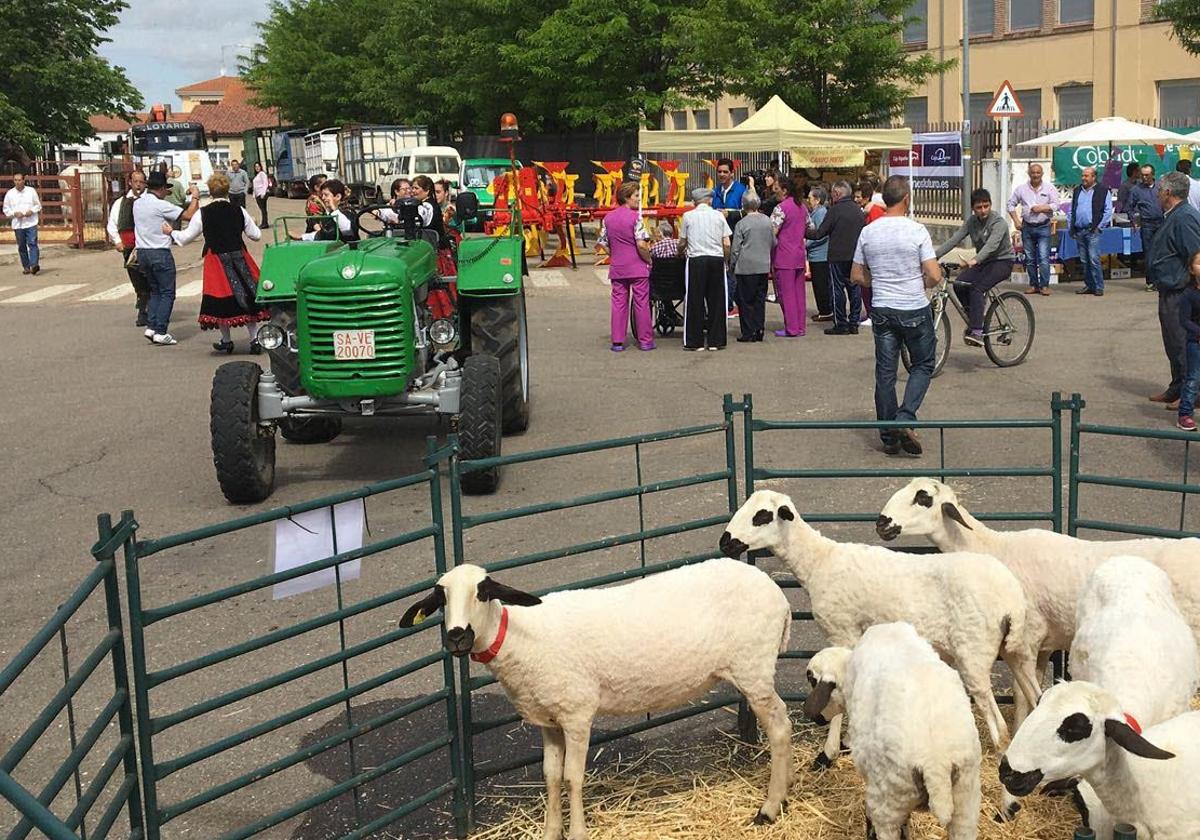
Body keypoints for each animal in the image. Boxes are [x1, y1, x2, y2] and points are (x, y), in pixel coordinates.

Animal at [398, 556, 796, 840]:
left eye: (483, 591)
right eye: (440, 597)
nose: (457, 637)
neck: (518, 638)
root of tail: (777, 593)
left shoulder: (576, 713)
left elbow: (573, 778)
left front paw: (576, 833)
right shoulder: (549, 720)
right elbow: (550, 777)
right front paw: (550, 832)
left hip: (752, 668)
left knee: (779, 726)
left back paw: (769, 808)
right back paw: (788, 788)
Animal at [873, 480, 1200, 720]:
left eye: (923, 498)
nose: (881, 523)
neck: (992, 548)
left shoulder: (1024, 641)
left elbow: (1021, 697)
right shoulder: (1042, 645)